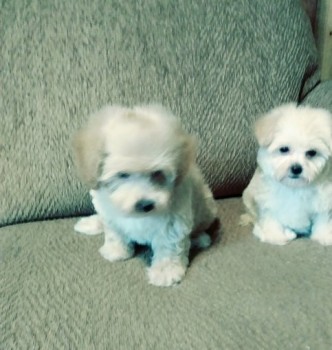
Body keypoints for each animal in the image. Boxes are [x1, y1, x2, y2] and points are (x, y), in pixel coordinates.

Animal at [72, 104, 218, 288]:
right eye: (123, 174)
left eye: (158, 173)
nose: (145, 204)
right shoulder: (108, 211)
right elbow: (114, 232)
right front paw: (116, 251)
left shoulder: (173, 220)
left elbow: (169, 244)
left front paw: (165, 270)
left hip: (207, 208)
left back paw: (200, 238)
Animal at [241, 104, 332, 245]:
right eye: (284, 149)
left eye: (312, 152)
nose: (296, 168)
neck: (294, 187)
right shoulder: (268, 201)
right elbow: (271, 217)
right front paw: (275, 235)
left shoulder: (324, 199)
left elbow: (323, 218)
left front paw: (324, 236)